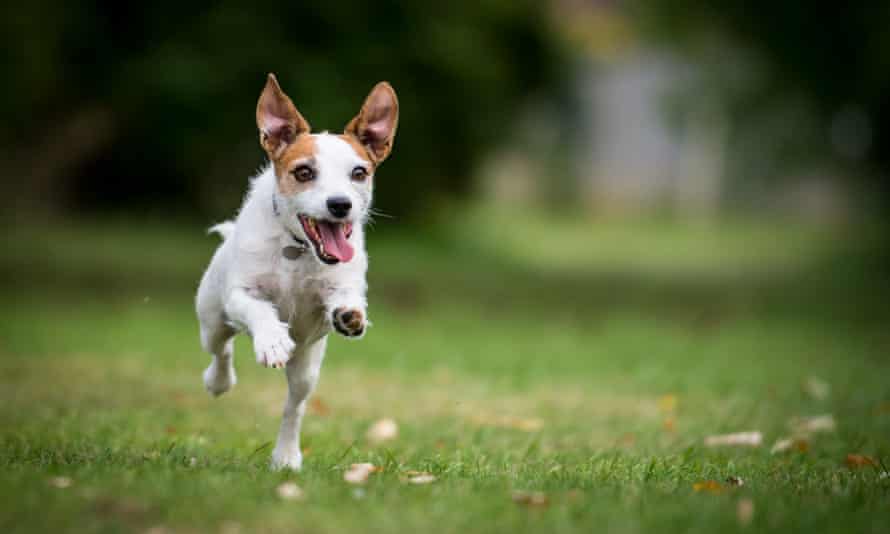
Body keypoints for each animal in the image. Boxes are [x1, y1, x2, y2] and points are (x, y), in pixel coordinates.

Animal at [199, 74, 402, 468]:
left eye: (359, 173)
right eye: (304, 172)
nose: (340, 204)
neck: (297, 247)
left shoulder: (337, 287)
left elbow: (343, 297)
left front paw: (349, 314)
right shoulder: (239, 295)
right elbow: (258, 309)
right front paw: (272, 339)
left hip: (307, 367)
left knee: (294, 407)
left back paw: (286, 456)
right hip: (212, 318)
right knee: (221, 349)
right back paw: (218, 381)